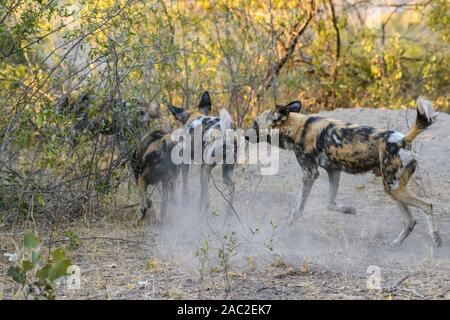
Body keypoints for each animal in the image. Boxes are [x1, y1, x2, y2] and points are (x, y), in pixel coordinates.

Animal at [253, 97, 442, 248]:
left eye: (254, 123)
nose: (246, 135)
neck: (298, 128)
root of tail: (403, 139)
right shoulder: (334, 171)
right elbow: (330, 204)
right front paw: (348, 210)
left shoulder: (310, 174)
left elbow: (298, 208)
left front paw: (287, 226)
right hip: (393, 188)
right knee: (410, 221)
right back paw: (394, 244)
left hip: (393, 188)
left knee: (428, 206)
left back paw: (436, 240)